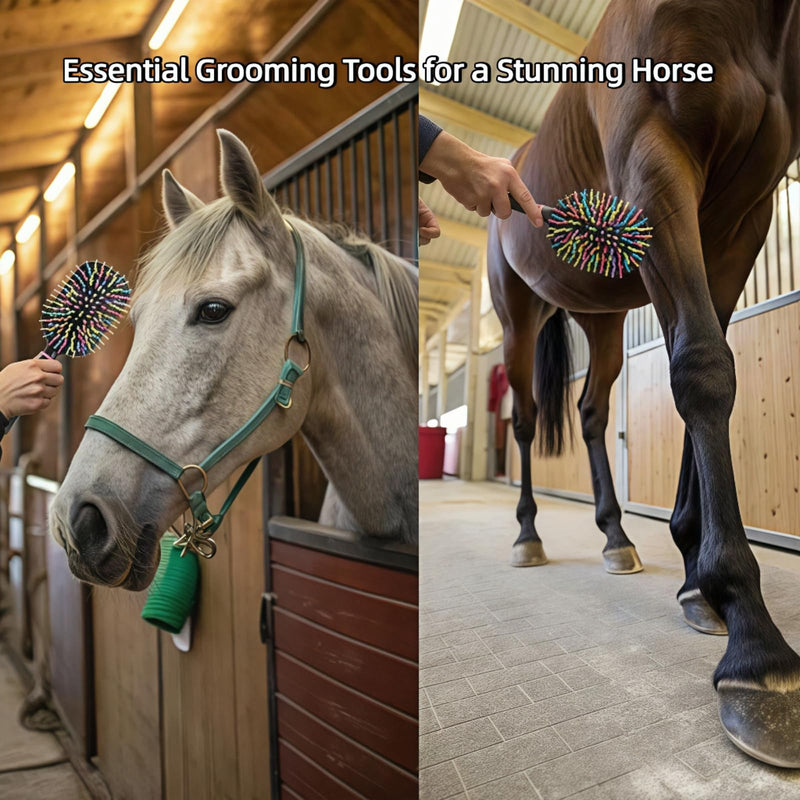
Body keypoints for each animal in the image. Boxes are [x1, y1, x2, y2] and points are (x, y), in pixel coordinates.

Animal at [488, 0, 800, 767]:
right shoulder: (657, 174)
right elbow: (702, 368)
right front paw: (755, 646)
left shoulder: (740, 218)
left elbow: (712, 365)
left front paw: (697, 580)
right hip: (517, 314)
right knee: (528, 420)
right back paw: (528, 537)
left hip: (600, 318)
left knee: (592, 411)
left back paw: (615, 538)